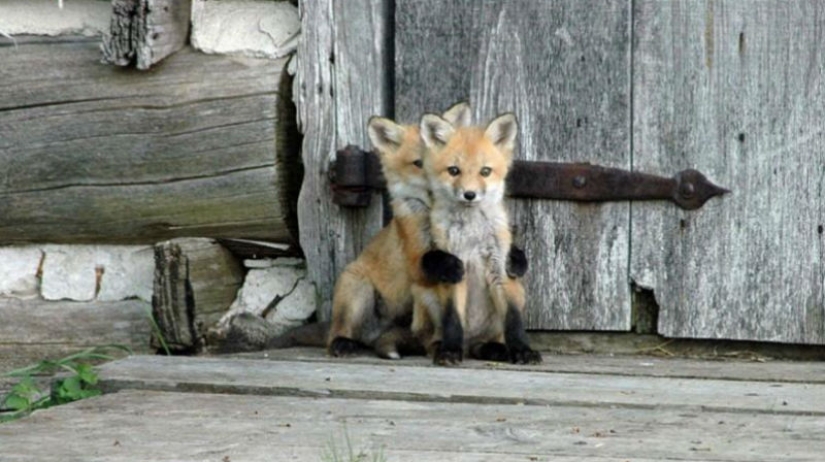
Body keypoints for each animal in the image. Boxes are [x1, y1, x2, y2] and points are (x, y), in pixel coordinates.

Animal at [415, 111, 541, 366]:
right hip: (425, 295)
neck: (472, 233)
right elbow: (453, 319)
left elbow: (513, 320)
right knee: (433, 340)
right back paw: (444, 347)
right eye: (454, 170)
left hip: (517, 295)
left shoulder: (500, 268)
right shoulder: (455, 270)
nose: (470, 194)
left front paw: (523, 350)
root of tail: (471, 341)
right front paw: (450, 351)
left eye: (485, 172)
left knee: (485, 343)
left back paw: (495, 349)